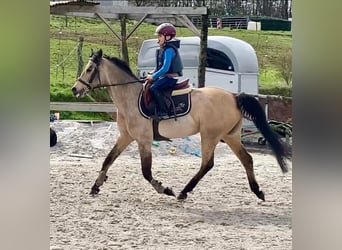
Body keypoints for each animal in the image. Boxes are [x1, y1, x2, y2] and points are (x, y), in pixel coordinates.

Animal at [71, 48, 290, 201]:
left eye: (89, 69)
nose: (75, 89)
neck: (130, 98)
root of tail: (234, 96)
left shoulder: (143, 140)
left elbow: (146, 171)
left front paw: (164, 189)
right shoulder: (126, 137)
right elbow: (108, 159)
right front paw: (96, 186)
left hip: (210, 135)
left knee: (207, 163)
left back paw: (184, 191)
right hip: (230, 136)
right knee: (247, 159)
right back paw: (257, 191)